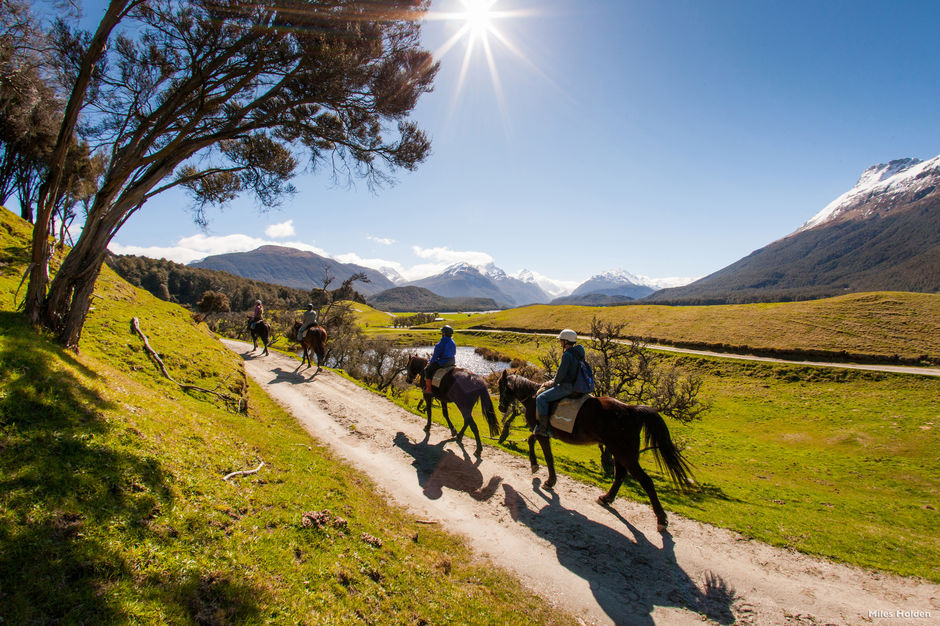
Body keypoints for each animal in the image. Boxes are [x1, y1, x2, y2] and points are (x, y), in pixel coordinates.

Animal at [492, 368, 692, 528]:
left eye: (501, 387)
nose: (501, 407)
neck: (534, 398)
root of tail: (631, 409)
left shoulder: (541, 431)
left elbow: (547, 455)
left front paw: (549, 480)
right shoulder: (541, 431)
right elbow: (530, 440)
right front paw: (534, 466)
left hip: (624, 452)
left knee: (645, 480)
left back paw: (661, 519)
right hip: (618, 451)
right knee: (620, 474)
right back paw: (606, 498)